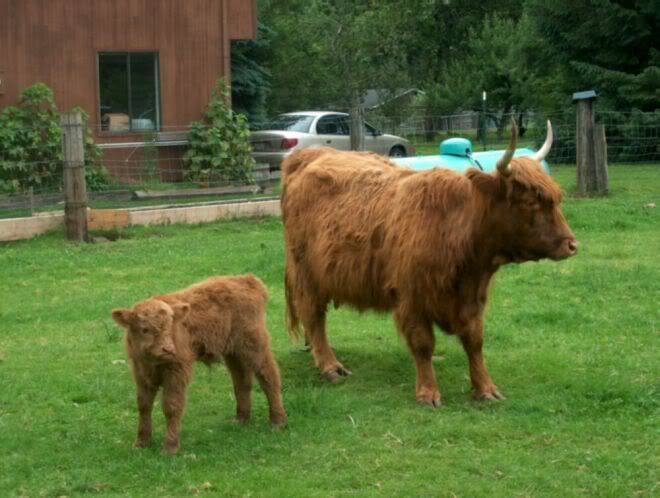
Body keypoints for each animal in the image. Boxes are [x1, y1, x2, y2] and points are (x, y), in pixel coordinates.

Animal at [111, 274, 287, 454]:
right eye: (145, 329)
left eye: (170, 326)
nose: (168, 349)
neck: (152, 363)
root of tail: (246, 279)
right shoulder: (141, 374)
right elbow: (143, 405)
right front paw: (141, 442)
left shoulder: (177, 371)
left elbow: (172, 406)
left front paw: (170, 446)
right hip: (233, 352)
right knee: (242, 381)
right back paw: (241, 418)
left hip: (255, 345)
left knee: (269, 376)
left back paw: (278, 421)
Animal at [280, 121, 577, 407]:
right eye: (530, 201)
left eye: (555, 198)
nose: (572, 245)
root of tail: (311, 155)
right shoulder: (411, 298)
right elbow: (423, 345)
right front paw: (427, 393)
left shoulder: (473, 298)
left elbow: (475, 342)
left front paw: (485, 388)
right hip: (307, 274)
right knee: (314, 317)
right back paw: (329, 365)